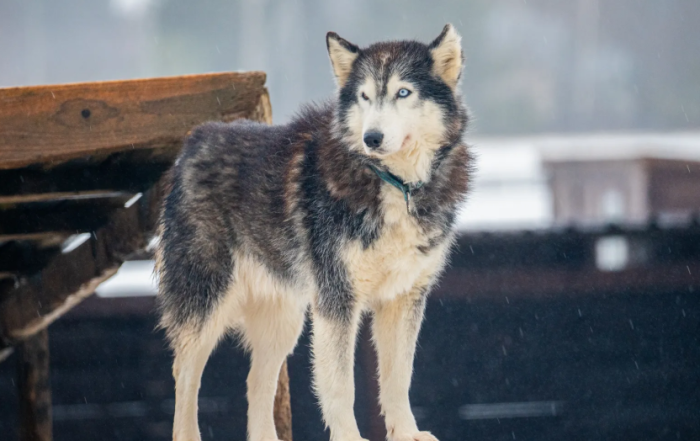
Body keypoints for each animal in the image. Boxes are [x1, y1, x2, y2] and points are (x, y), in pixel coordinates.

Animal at [157, 23, 470, 440]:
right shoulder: (337, 301)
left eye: (403, 92)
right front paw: (350, 438)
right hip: (206, 305)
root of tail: (194, 139)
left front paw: (407, 433)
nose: (371, 138)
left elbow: (398, 380)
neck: (394, 184)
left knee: (257, 383)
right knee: (184, 376)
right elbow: (340, 386)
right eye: (364, 96)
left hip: (284, 322)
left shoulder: (404, 299)